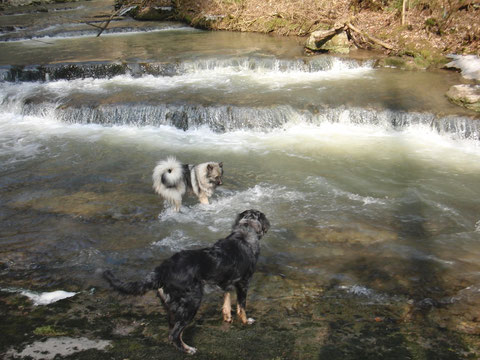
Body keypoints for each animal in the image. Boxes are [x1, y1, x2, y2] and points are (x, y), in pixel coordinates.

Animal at [103, 210, 270, 352]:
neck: (245, 231)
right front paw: (246, 321)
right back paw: (188, 349)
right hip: (192, 302)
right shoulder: (244, 283)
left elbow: (226, 302)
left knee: (173, 330)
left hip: (173, 307)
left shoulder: (226, 282)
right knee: (175, 333)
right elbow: (242, 307)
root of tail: (163, 269)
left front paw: (228, 317)